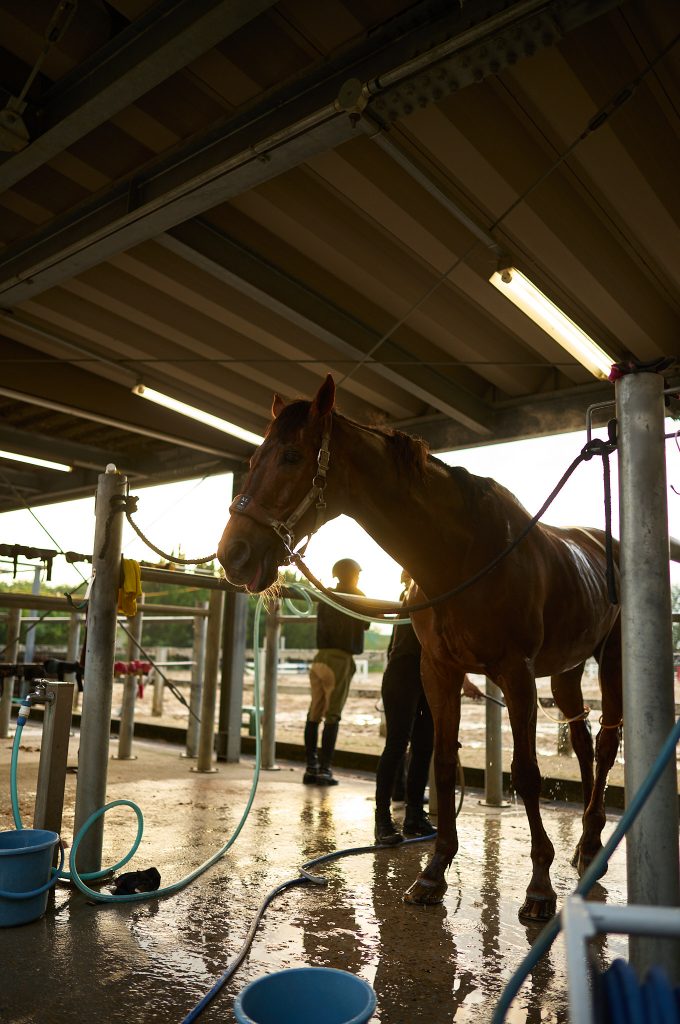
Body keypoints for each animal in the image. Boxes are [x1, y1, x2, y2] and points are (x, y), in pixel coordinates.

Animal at [217, 375, 622, 921]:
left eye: (292, 456)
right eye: (254, 458)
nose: (232, 555)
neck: (466, 553)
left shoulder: (516, 672)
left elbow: (526, 772)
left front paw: (539, 887)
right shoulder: (440, 670)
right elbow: (443, 764)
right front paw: (433, 873)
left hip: (609, 658)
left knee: (605, 743)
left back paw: (593, 845)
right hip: (566, 669)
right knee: (581, 740)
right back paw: (585, 841)